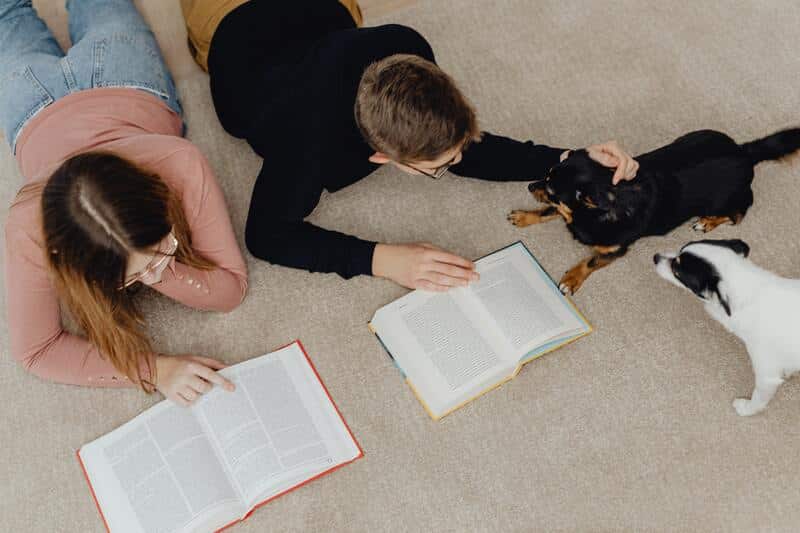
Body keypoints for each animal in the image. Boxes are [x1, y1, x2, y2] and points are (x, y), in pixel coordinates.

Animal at [510, 129, 800, 296]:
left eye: (552, 190)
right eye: (547, 175)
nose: (530, 186)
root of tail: (744, 151)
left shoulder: (615, 250)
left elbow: (590, 261)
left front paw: (571, 279)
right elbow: (548, 213)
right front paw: (524, 216)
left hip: (727, 201)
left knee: (738, 213)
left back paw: (707, 222)